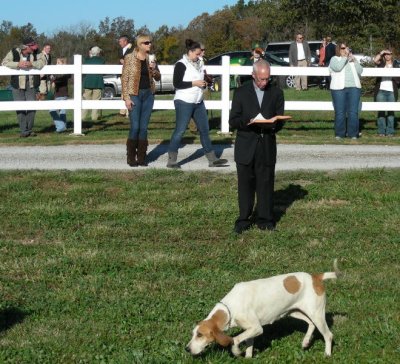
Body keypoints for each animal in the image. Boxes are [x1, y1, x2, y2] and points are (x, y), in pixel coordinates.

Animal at [187, 258, 340, 358]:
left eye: (200, 335)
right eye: (193, 333)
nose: (187, 349)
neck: (230, 307)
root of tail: (316, 277)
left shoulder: (256, 328)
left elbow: (235, 339)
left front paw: (236, 351)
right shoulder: (250, 330)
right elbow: (248, 345)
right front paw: (248, 358)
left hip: (317, 314)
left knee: (328, 335)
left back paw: (327, 354)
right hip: (295, 312)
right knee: (311, 324)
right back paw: (306, 341)